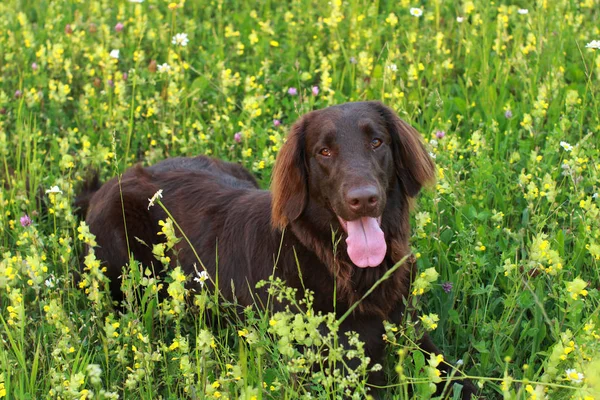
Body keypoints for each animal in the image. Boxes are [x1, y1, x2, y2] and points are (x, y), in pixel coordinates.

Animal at [79, 101, 476, 398]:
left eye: (377, 142)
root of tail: (102, 188)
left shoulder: (413, 332)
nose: (363, 199)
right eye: (324, 151)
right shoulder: (337, 368)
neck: (342, 268)